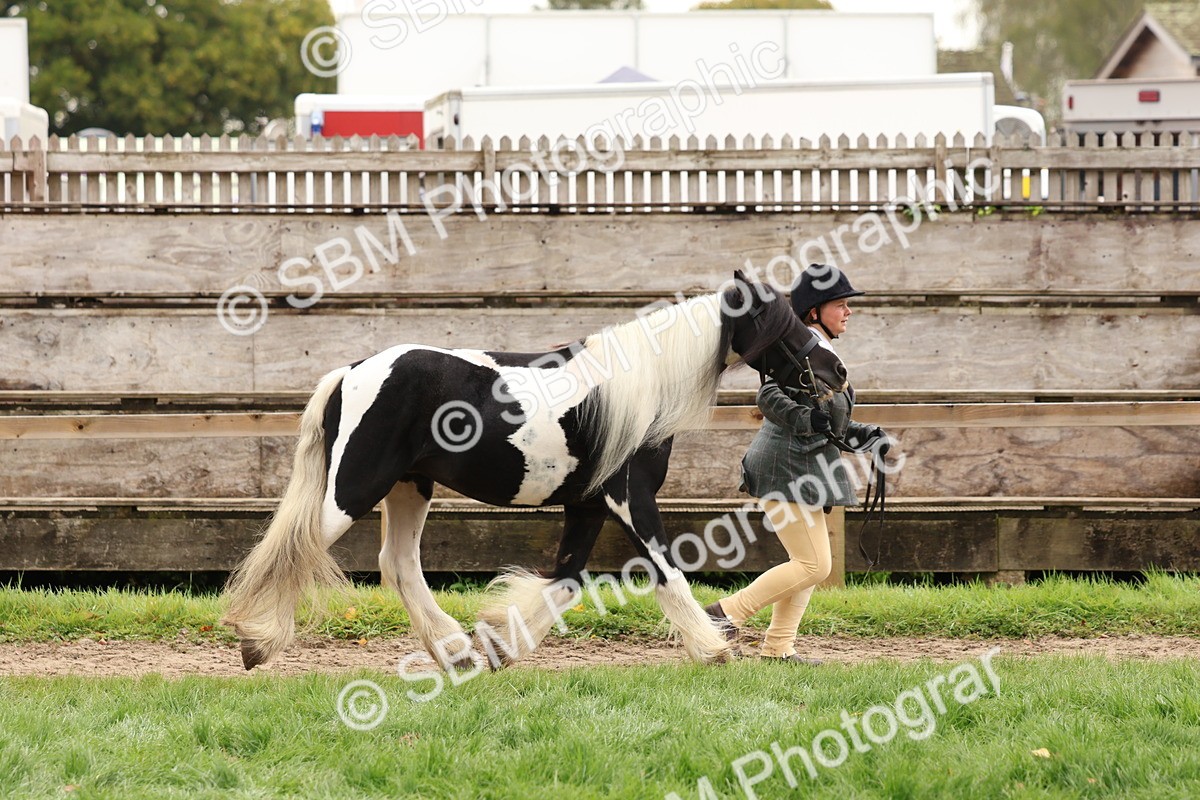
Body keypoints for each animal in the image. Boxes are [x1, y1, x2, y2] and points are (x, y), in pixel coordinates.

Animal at [221, 270, 848, 671]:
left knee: (398, 565)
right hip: (355, 486)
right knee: (297, 547)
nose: (838, 372)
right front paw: (714, 648)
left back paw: (456, 651)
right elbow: (666, 571)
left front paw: (502, 646)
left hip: (409, 488)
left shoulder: (588, 504)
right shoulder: (629, 498)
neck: (634, 392)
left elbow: (565, 581)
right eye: (785, 326)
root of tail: (351, 372)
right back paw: (256, 642)